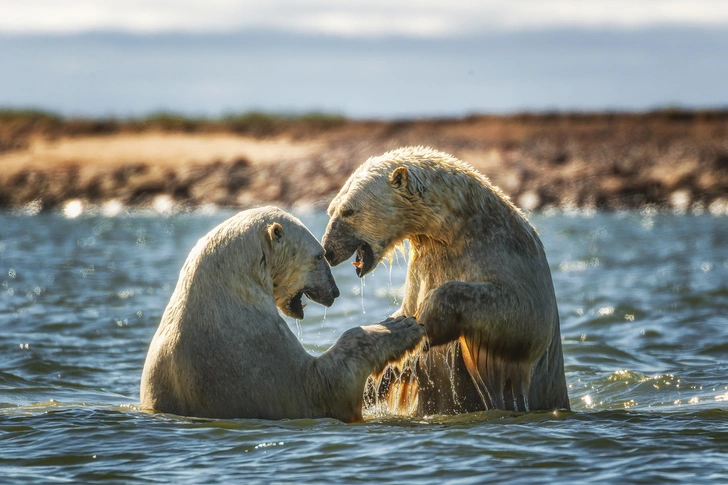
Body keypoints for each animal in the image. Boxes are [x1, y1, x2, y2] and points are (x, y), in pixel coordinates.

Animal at [322, 147, 568, 412]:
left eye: (348, 211)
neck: (459, 228)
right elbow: (406, 310)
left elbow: (527, 318)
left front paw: (426, 321)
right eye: (331, 209)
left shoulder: (513, 255)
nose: (328, 250)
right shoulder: (422, 268)